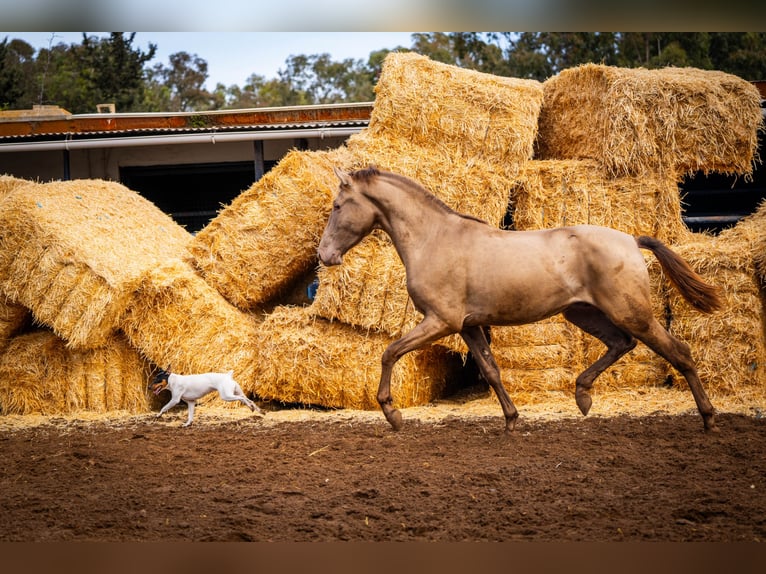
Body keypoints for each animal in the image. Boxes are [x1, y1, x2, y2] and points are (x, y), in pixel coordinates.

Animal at [316, 165, 724, 432]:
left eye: (337, 206)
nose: (325, 255)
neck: (433, 238)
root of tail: (631, 240)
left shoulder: (440, 321)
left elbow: (390, 353)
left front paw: (392, 414)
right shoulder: (468, 326)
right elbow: (491, 370)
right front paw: (512, 420)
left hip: (631, 312)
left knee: (678, 352)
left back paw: (708, 418)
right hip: (584, 313)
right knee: (621, 344)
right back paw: (583, 396)